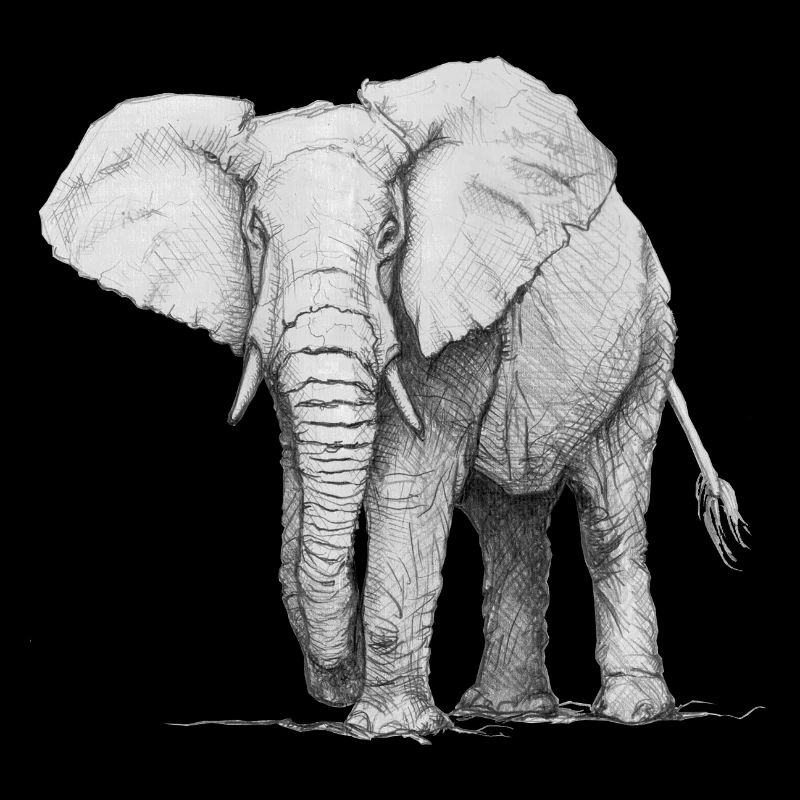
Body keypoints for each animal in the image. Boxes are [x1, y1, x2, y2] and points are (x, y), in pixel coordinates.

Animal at [40, 58, 748, 735]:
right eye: (255, 232)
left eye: (388, 235)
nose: (338, 682)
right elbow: (300, 474)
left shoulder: (452, 305)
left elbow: (409, 479)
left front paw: (387, 726)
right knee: (510, 526)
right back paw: (505, 712)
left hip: (647, 342)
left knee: (609, 508)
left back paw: (631, 710)